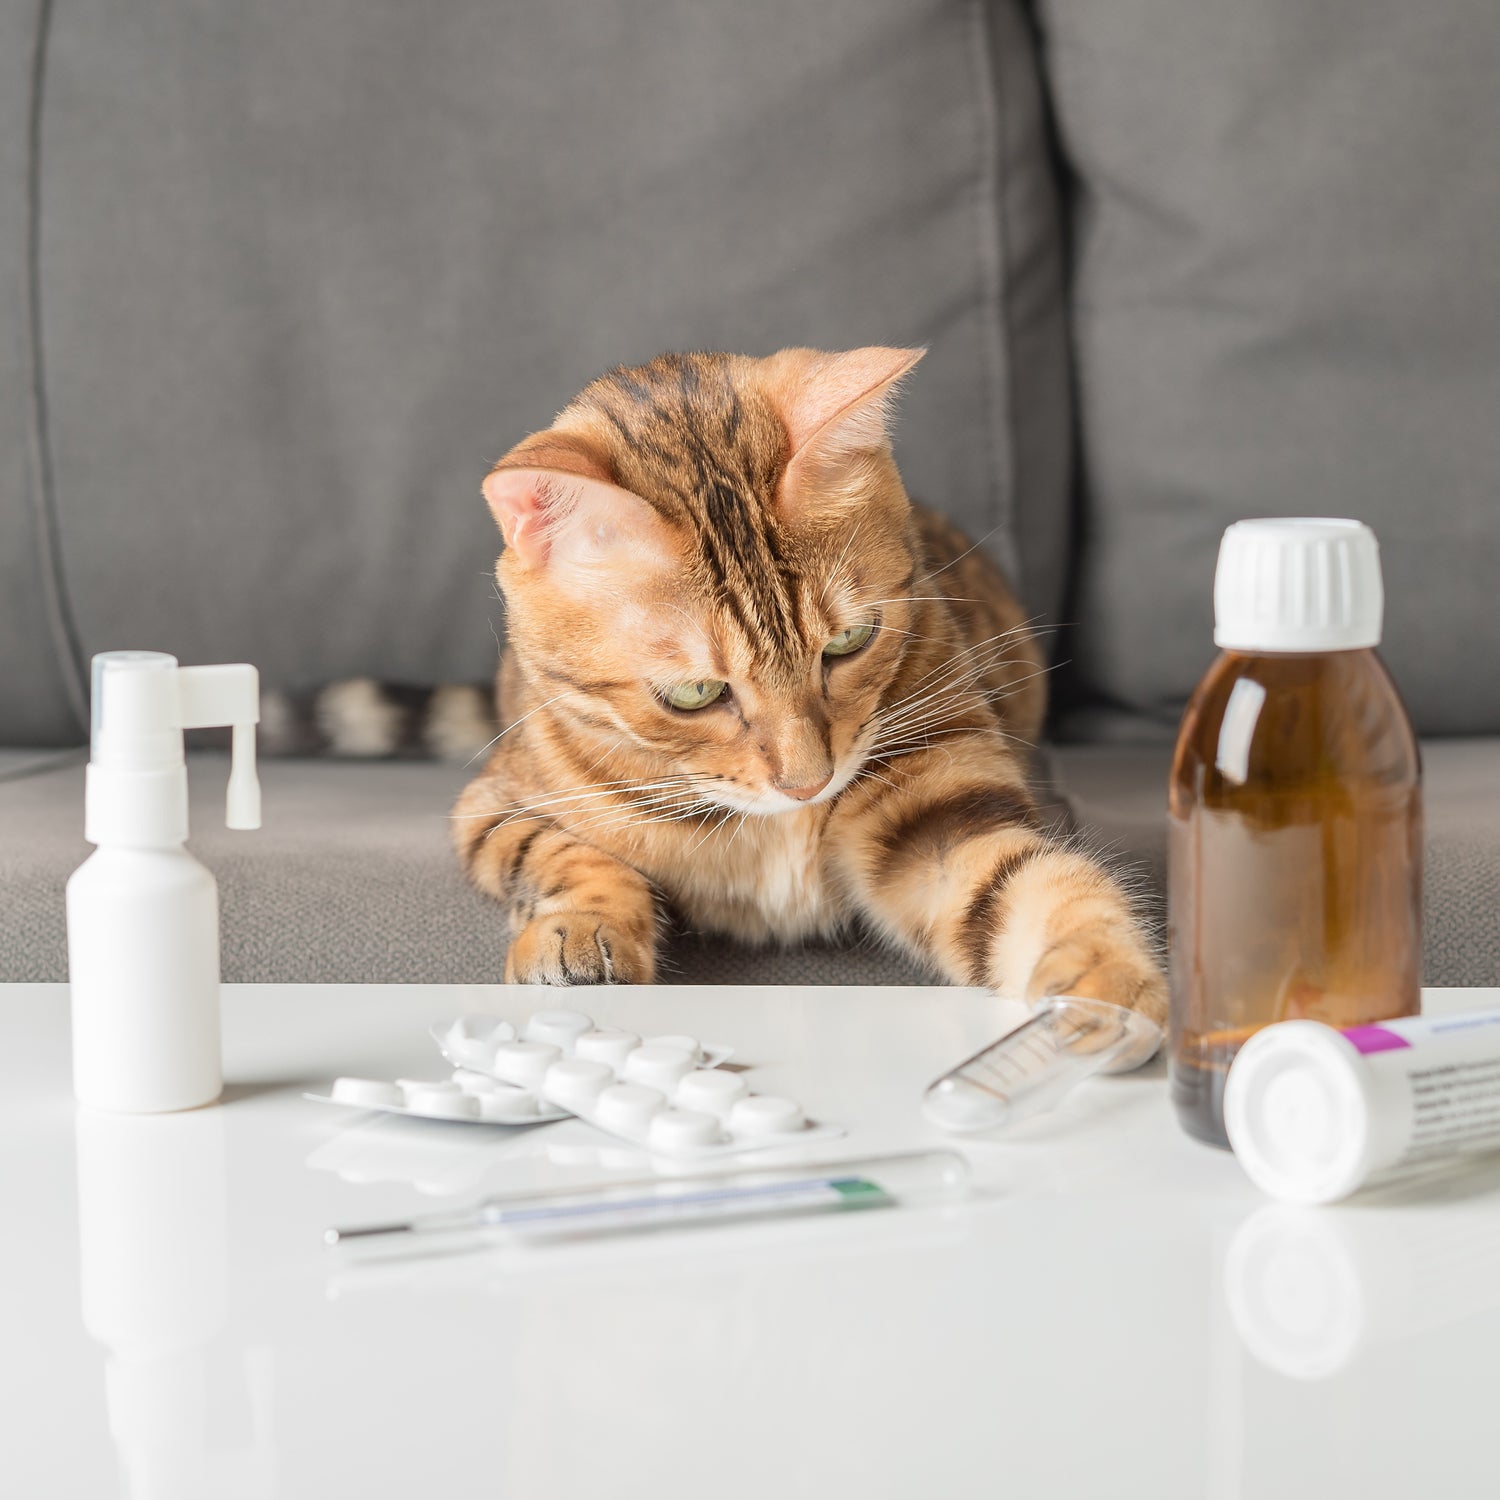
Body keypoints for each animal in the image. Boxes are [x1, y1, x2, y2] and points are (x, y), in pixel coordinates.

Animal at [450, 348, 1164, 1020]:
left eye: (849, 641)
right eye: (692, 694)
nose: (809, 783)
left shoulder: (939, 817)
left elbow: (1035, 884)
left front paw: (1107, 981)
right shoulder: (494, 804)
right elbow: (564, 855)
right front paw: (578, 931)